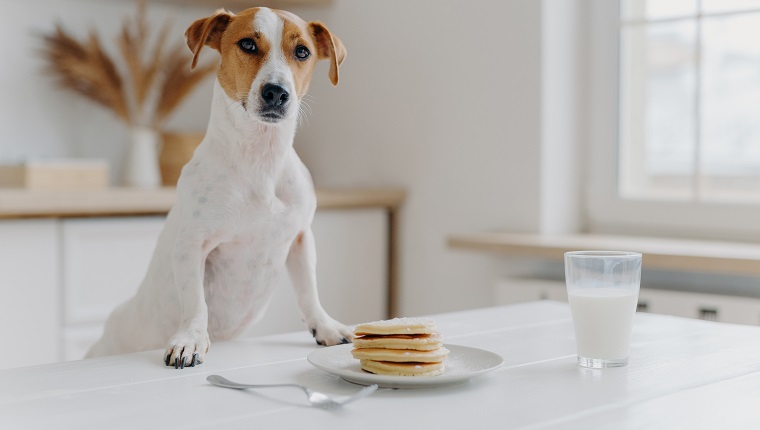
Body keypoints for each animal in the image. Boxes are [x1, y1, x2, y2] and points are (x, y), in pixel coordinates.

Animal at [86, 6, 350, 368]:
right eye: (248, 44)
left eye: (302, 52)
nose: (276, 92)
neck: (260, 159)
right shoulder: (193, 244)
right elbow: (195, 299)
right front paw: (190, 341)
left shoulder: (300, 238)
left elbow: (308, 290)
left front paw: (324, 326)